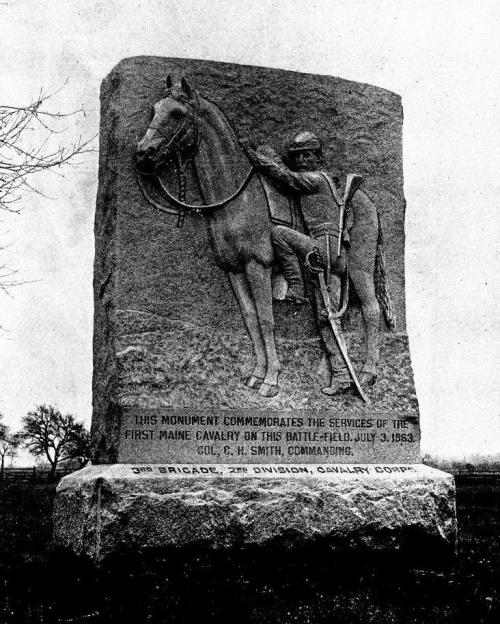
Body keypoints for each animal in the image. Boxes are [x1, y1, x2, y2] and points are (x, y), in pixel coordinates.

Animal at [134, 77, 394, 400]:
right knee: (331, 317)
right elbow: (250, 318)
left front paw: (271, 380)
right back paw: (338, 378)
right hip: (333, 272)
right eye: (155, 109)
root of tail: (368, 202)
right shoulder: (233, 270)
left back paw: (367, 375)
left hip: (359, 269)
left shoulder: (258, 265)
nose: (143, 152)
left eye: (177, 113)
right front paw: (256, 374)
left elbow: (266, 320)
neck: (237, 197)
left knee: (370, 310)